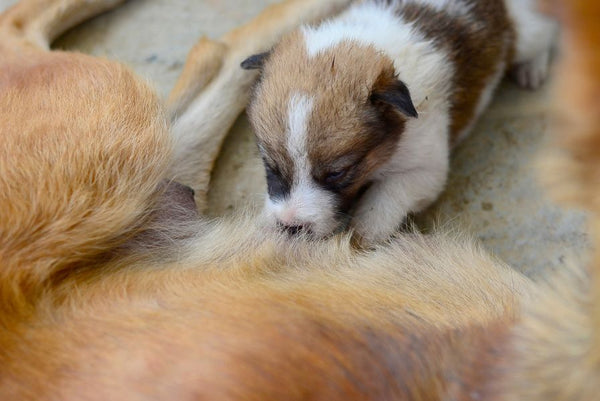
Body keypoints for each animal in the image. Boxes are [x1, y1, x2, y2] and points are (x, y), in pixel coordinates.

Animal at [241, 0, 556, 244]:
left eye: (337, 174)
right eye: (270, 166)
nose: (290, 226)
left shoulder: (425, 169)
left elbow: (386, 197)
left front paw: (362, 234)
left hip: (525, 33)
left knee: (542, 35)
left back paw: (532, 68)